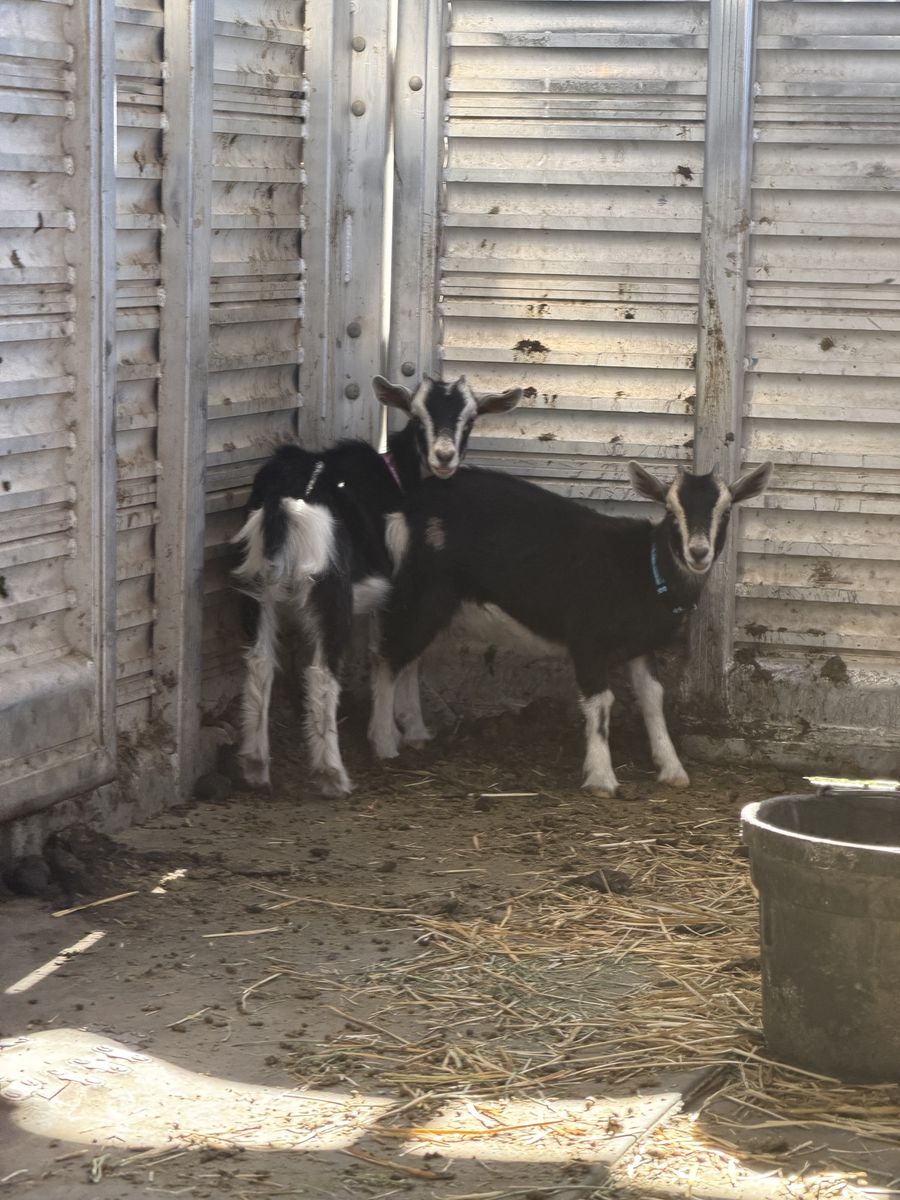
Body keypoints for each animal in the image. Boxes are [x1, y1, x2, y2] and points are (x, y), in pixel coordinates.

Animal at [231, 375, 522, 796]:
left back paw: (255, 767)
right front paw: (393, 736)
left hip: (255, 585)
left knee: (259, 661)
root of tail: (283, 504)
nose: (444, 457)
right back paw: (332, 775)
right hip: (330, 590)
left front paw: (405, 728)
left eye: (471, 418)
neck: (400, 479)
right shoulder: (405, 588)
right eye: (416, 417)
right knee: (321, 673)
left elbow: (385, 653)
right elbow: (395, 656)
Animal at [369, 459, 772, 795]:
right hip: (422, 590)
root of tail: (409, 508)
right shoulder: (587, 639)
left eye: (726, 510)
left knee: (410, 658)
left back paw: (415, 731)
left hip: (436, 604)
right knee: (389, 656)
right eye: (671, 511)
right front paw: (601, 777)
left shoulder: (641, 646)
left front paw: (671, 768)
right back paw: (384, 742)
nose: (698, 552)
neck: (646, 570)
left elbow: (653, 697)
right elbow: (601, 702)